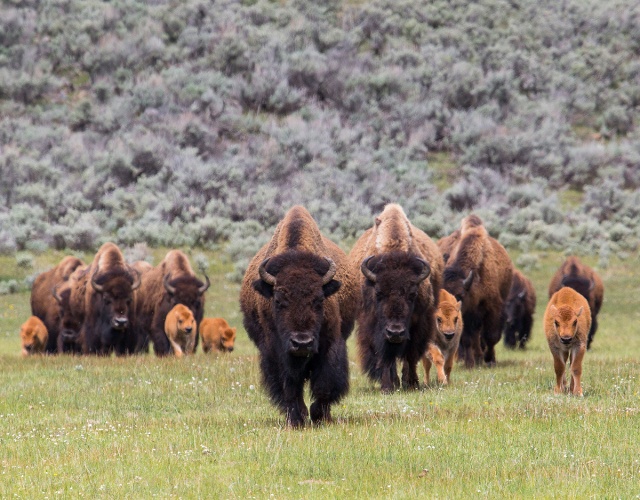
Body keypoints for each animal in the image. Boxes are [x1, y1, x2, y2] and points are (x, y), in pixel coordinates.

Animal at [240, 205, 360, 428]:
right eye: (278, 300)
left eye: (319, 299)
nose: (302, 343)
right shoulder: (276, 351)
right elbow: (289, 386)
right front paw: (297, 419)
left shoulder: (330, 344)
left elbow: (324, 383)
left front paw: (319, 416)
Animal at [348, 205, 442, 392]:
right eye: (378, 293)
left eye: (412, 294)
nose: (396, 332)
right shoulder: (373, 327)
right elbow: (384, 356)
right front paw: (387, 386)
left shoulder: (419, 324)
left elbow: (411, 355)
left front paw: (412, 383)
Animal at [440, 215, 516, 368]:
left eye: (460, 295)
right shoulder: (467, 317)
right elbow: (467, 339)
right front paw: (470, 363)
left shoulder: (493, 309)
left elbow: (491, 336)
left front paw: (490, 360)